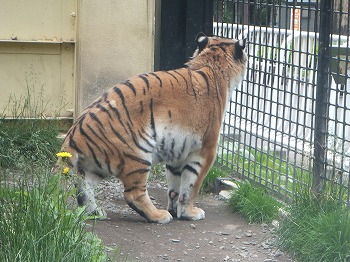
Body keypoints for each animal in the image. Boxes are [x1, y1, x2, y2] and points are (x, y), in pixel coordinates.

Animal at [58, 32, 246, 224]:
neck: (211, 65)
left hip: (95, 166)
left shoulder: (178, 152)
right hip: (138, 155)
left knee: (82, 186)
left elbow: (175, 186)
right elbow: (190, 187)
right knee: (133, 195)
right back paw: (158, 215)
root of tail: (73, 135)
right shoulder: (206, 150)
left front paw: (175, 209)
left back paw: (95, 212)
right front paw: (189, 213)